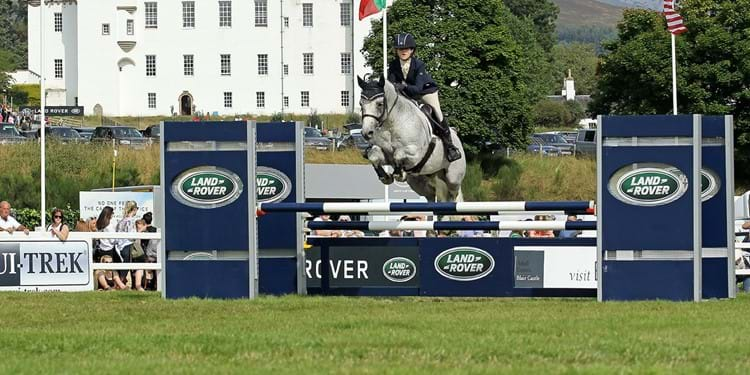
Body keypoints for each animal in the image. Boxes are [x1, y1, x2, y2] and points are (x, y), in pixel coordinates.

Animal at [356, 75, 464, 203]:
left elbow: (398, 154)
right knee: (431, 195)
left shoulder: (416, 154)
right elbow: (373, 156)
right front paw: (385, 177)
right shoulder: (384, 153)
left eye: (380, 104)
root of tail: (455, 133)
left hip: (453, 178)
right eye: (361, 104)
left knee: (453, 195)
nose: (367, 133)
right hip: (421, 181)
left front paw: (399, 174)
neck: (391, 125)